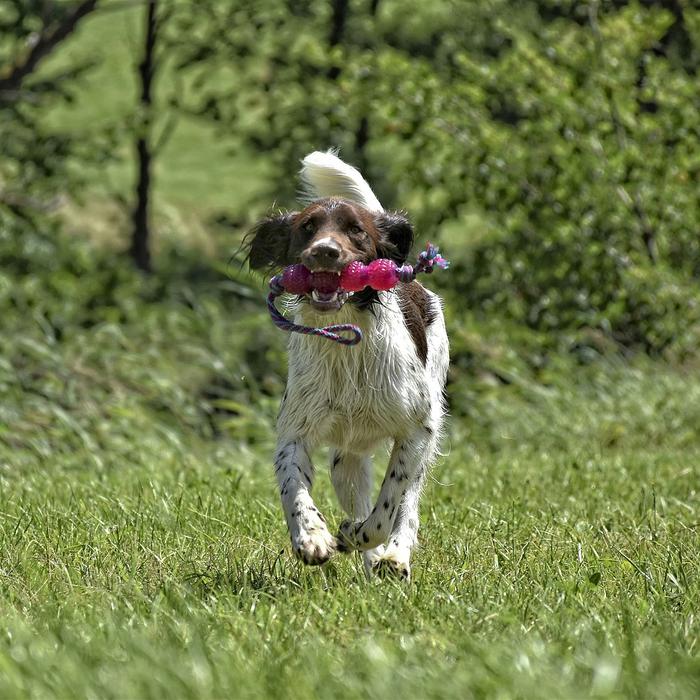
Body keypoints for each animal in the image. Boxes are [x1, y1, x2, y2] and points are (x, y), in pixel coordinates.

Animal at [247, 150, 448, 576]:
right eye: (307, 227)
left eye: (356, 230)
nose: (325, 251)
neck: (346, 345)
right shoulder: (295, 431)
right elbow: (294, 488)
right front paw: (312, 537)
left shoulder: (416, 430)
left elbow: (388, 505)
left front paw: (359, 536)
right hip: (347, 457)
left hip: (426, 431)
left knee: (408, 503)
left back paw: (393, 556)